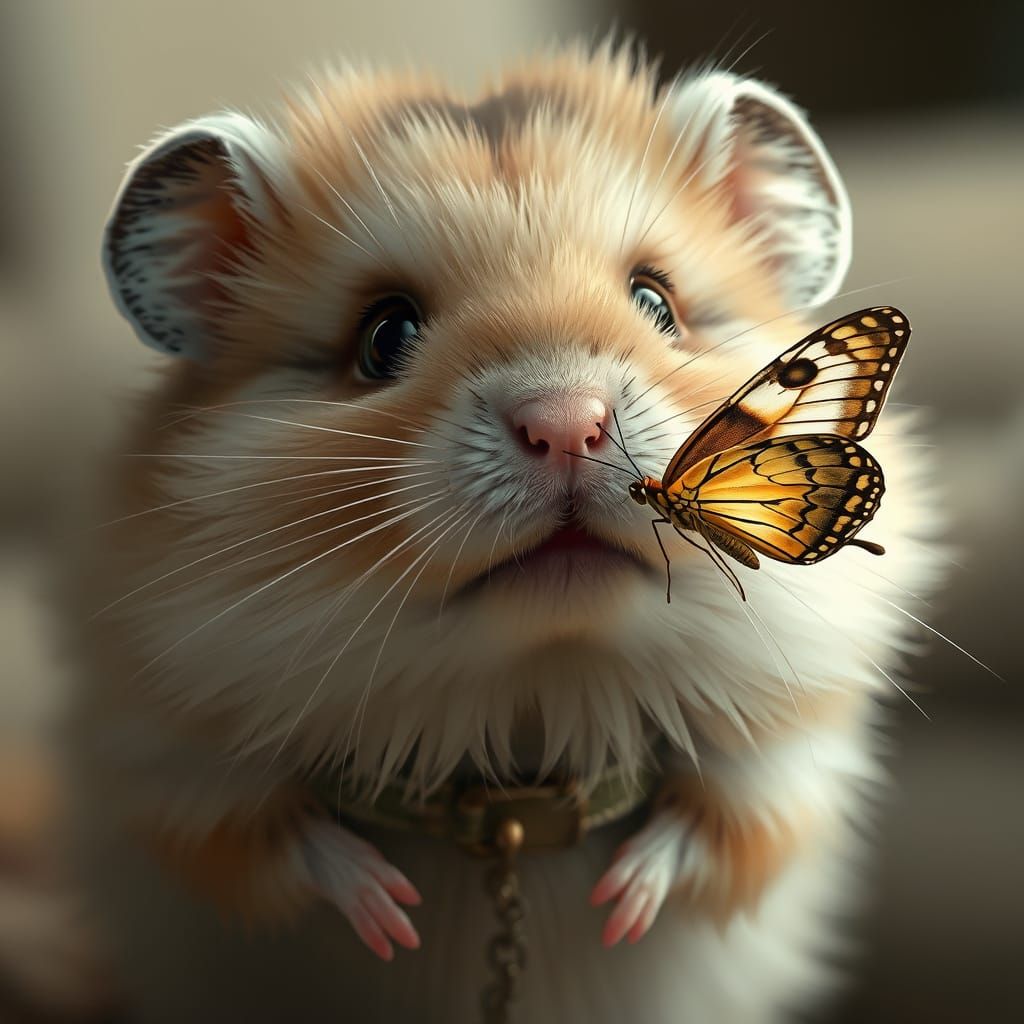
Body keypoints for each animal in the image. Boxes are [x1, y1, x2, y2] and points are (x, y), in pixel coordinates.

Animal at [67, 40, 944, 1024]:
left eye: (658, 303)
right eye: (384, 336)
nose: (566, 425)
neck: (532, 715)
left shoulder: (789, 768)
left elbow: (719, 832)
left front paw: (620, 903)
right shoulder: (169, 773)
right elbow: (278, 849)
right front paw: (393, 916)